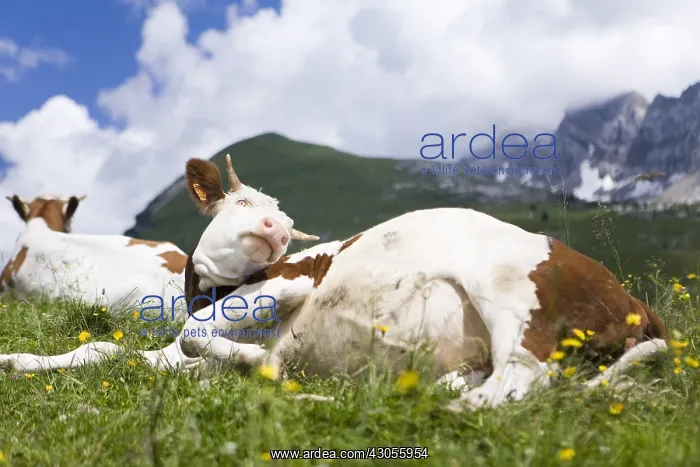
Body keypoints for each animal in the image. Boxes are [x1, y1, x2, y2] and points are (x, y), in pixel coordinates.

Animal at [0, 157, 669, 410]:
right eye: (240, 202)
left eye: (285, 218)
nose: (275, 227)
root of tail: (631, 295)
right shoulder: (168, 353)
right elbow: (102, 347)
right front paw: (18, 361)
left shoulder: (291, 284)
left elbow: (200, 335)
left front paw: (257, 363)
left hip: (510, 293)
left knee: (511, 384)